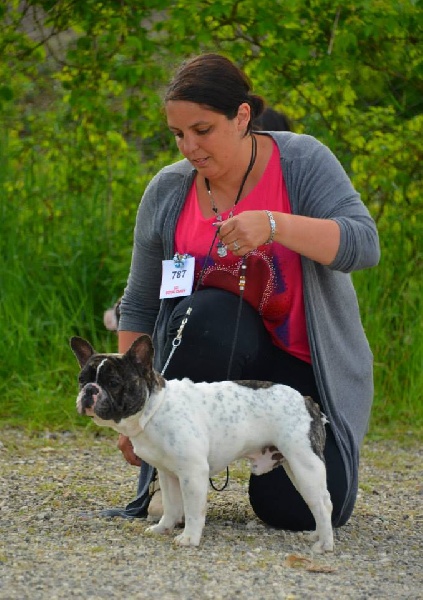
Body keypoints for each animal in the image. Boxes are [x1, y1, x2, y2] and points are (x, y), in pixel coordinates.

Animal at [69, 336, 334, 552]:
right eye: (81, 380)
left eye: (113, 382)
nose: (89, 390)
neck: (155, 409)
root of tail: (306, 400)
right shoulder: (167, 474)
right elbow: (171, 505)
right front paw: (164, 528)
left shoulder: (193, 473)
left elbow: (193, 510)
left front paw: (189, 538)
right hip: (296, 469)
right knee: (318, 503)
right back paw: (316, 535)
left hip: (305, 464)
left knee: (323, 504)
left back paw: (325, 544)